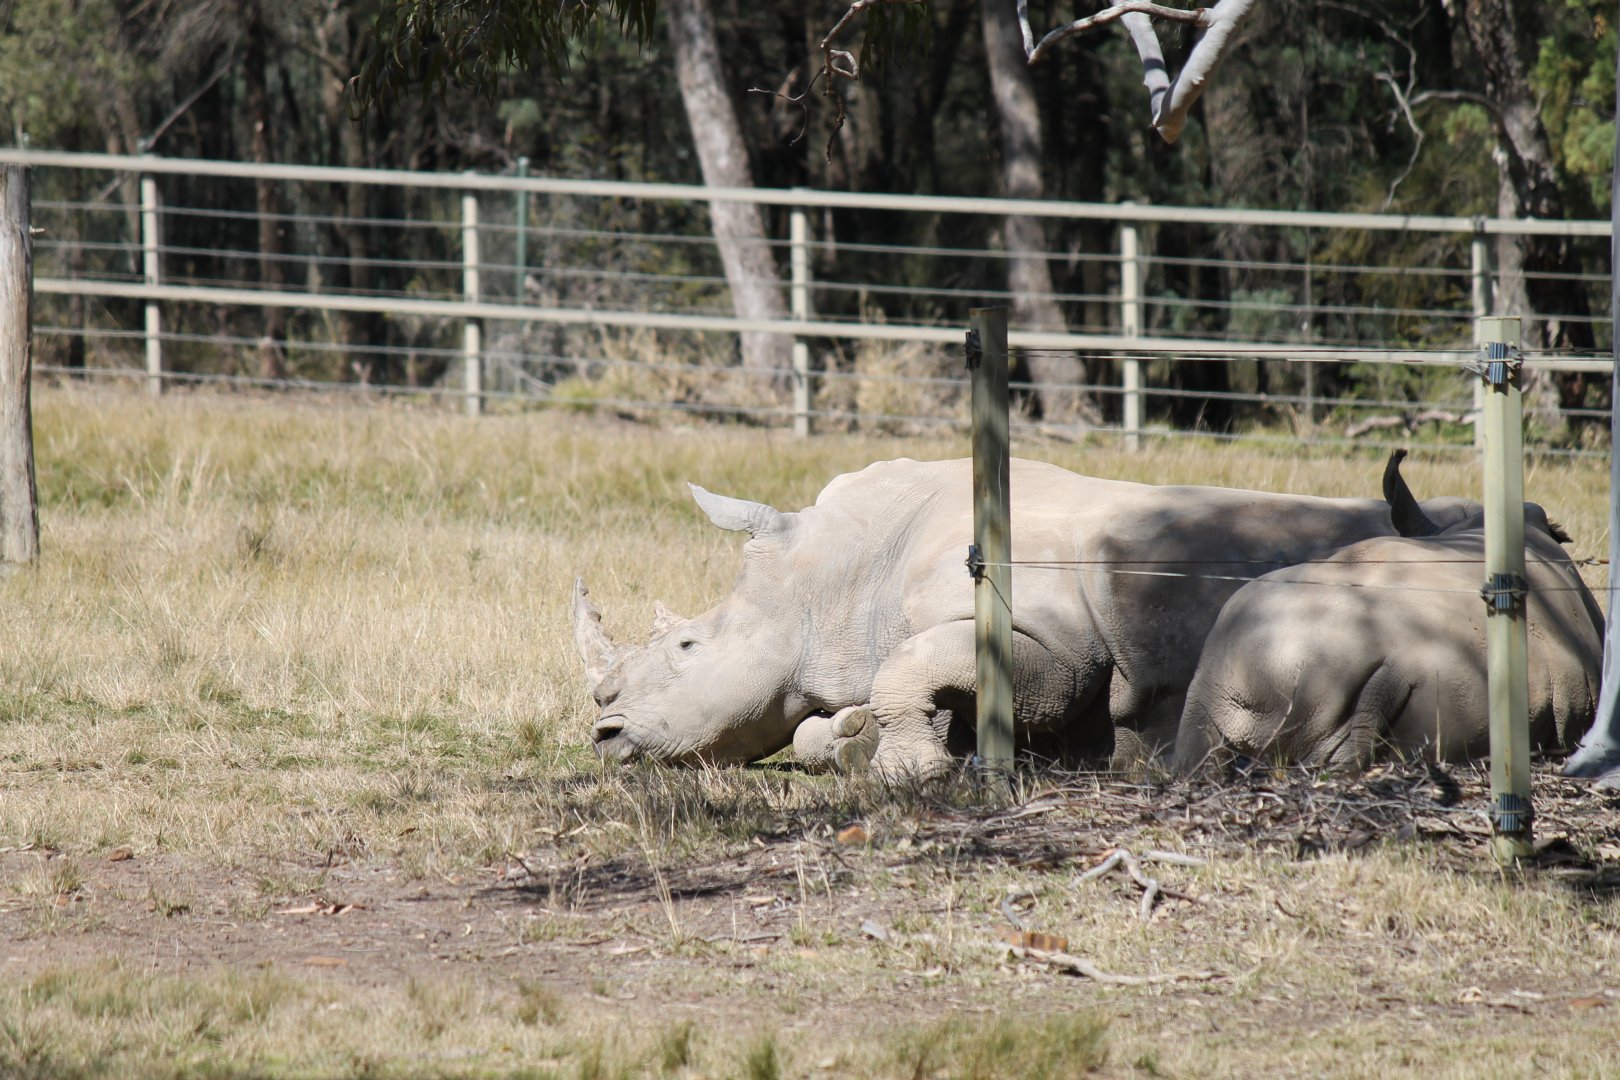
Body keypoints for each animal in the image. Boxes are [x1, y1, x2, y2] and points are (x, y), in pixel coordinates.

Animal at [573, 456, 1460, 779]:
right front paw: (861, 737)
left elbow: (913, 668)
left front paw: (905, 770)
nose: (604, 735)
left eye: (688, 645)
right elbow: (826, 721)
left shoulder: (1055, 644)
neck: (836, 577)